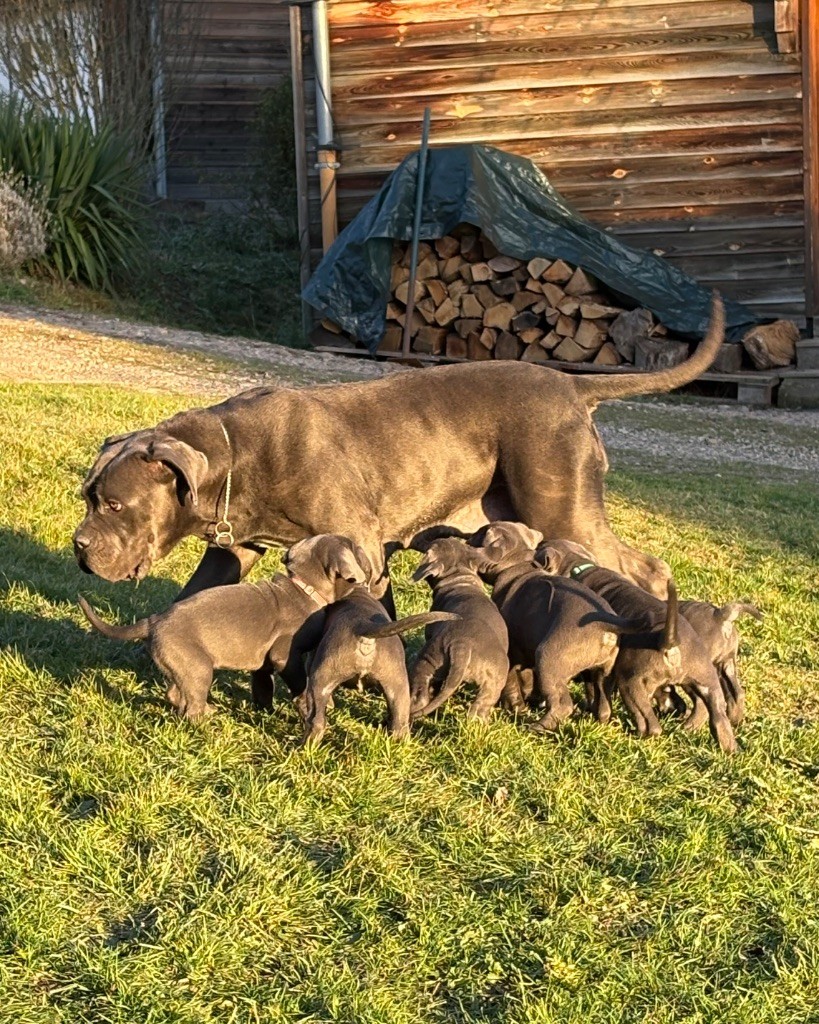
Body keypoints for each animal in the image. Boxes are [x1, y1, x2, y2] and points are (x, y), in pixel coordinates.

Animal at [70, 294, 724, 598]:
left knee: (643, 567)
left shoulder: (360, 545)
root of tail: (571, 385)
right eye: (87, 498)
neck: (237, 454)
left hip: (562, 507)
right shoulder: (237, 549)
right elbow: (194, 595)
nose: (78, 545)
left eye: (114, 505)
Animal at [78, 536, 368, 720]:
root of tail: (153, 621)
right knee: (192, 707)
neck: (306, 588)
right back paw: (207, 720)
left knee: (175, 693)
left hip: (181, 665)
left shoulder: (266, 661)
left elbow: (264, 682)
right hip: (199, 667)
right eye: (356, 549)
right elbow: (299, 681)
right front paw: (305, 702)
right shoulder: (284, 654)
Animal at [296, 589, 456, 749]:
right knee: (400, 724)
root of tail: (364, 625)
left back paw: (305, 748)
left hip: (319, 683)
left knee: (315, 722)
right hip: (398, 688)